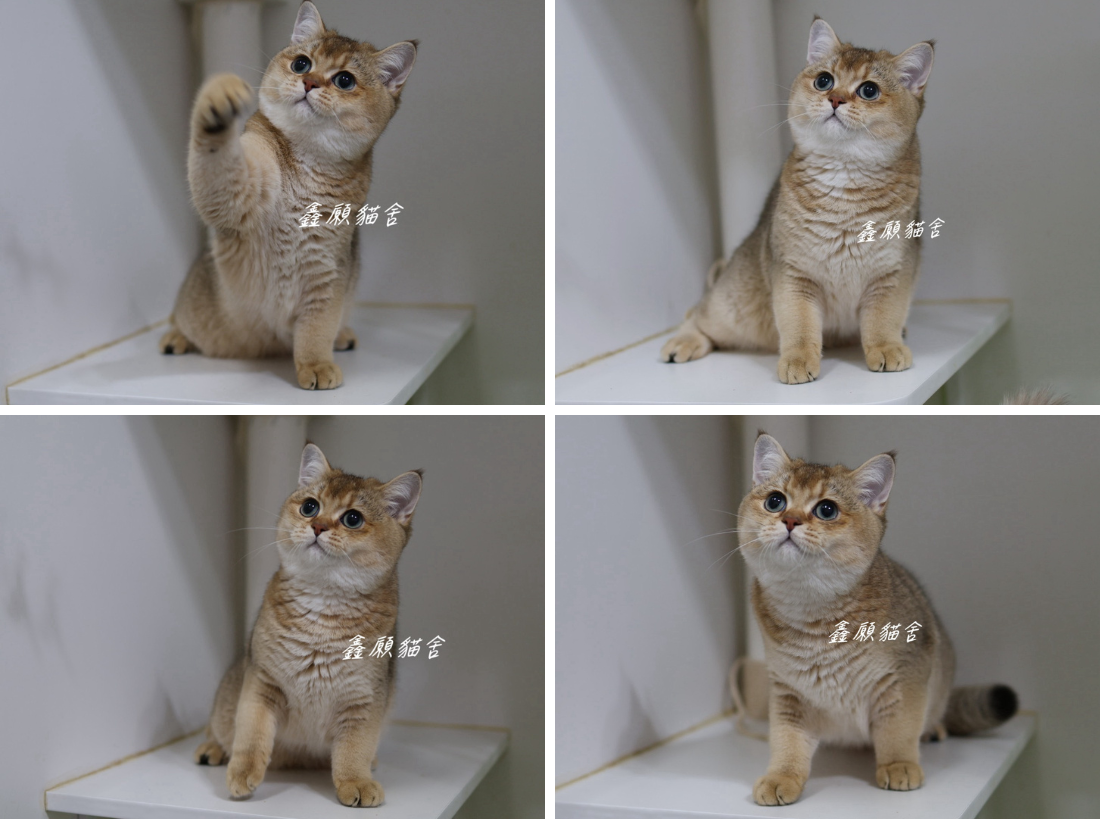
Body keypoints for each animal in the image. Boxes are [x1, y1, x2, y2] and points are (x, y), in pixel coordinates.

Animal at [161, 1, 417, 390]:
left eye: (345, 80)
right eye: (301, 63)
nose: (308, 82)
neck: (309, 165)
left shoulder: (327, 273)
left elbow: (316, 328)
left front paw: (316, 364)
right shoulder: (239, 193)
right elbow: (220, 164)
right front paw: (219, 96)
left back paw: (343, 336)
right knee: (179, 317)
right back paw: (175, 337)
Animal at [194, 442, 423, 805]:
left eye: (353, 518)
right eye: (309, 507)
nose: (318, 526)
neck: (324, 604)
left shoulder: (365, 700)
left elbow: (354, 748)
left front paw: (356, 781)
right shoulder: (261, 682)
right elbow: (251, 733)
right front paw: (242, 773)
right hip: (228, 693)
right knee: (220, 724)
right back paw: (212, 748)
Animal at [662, 18, 934, 385]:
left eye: (869, 90)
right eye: (824, 81)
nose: (835, 98)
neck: (845, 177)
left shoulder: (894, 273)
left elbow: (883, 319)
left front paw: (887, 347)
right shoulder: (793, 274)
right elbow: (799, 324)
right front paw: (798, 360)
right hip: (733, 308)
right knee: (698, 314)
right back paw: (683, 342)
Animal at [738, 433, 1017, 806]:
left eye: (826, 509)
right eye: (775, 501)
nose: (790, 520)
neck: (812, 615)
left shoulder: (905, 678)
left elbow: (898, 729)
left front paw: (899, 765)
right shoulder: (787, 691)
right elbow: (787, 740)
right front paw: (781, 777)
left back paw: (933, 730)